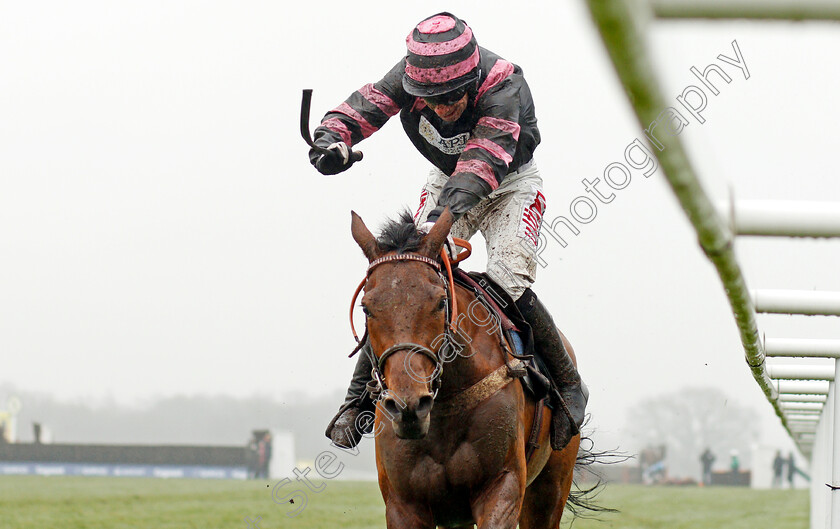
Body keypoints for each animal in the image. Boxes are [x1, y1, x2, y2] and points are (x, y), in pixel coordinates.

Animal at [352, 207, 580, 528]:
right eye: (366, 308)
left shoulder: (502, 485)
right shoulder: (403, 503)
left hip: (550, 487)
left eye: (440, 302)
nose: (409, 407)